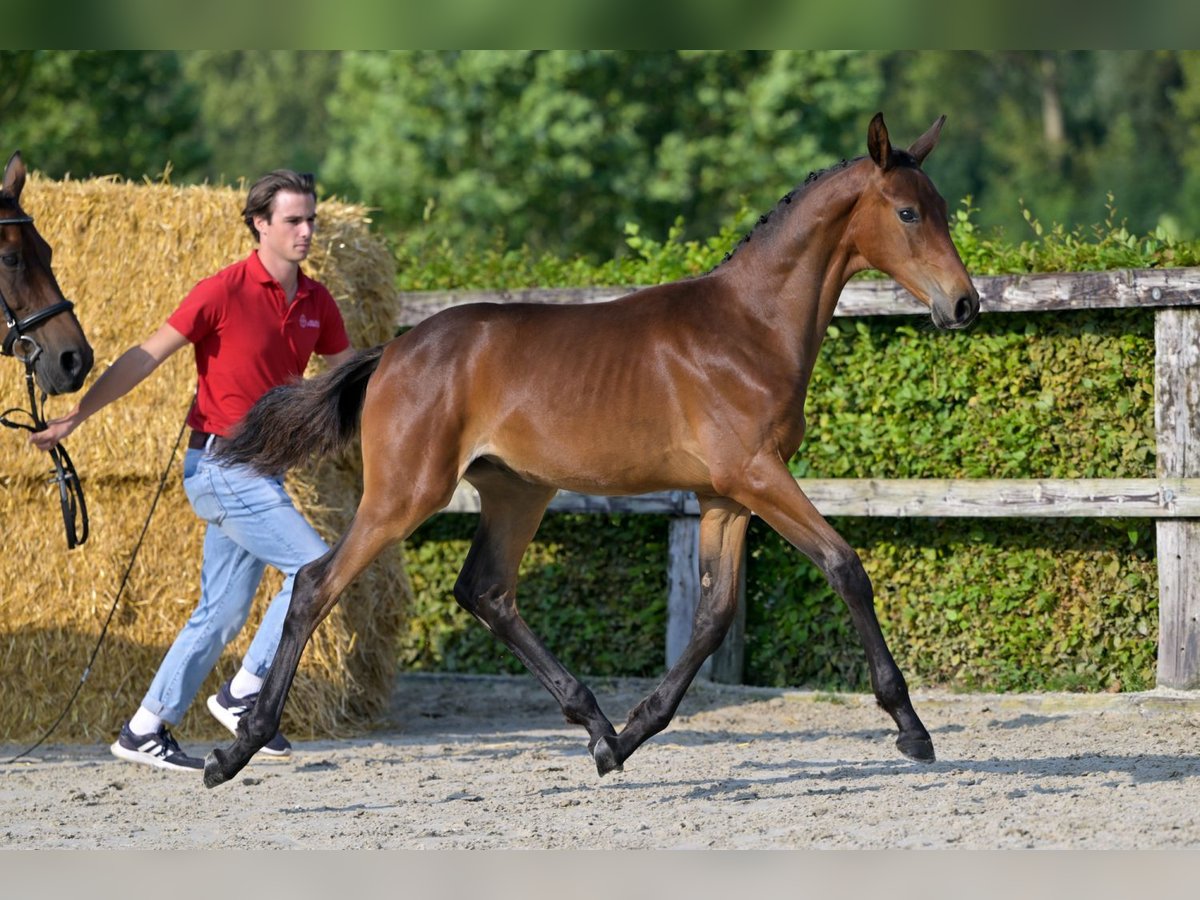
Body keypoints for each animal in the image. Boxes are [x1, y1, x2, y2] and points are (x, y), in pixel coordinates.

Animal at [201, 114, 979, 787]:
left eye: (941, 208)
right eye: (908, 214)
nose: (965, 305)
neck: (750, 328)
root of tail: (393, 349)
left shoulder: (724, 495)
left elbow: (714, 614)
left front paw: (633, 734)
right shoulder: (758, 475)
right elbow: (845, 568)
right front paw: (912, 729)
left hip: (517, 489)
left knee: (485, 589)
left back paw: (599, 729)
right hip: (405, 493)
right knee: (316, 585)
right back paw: (233, 752)